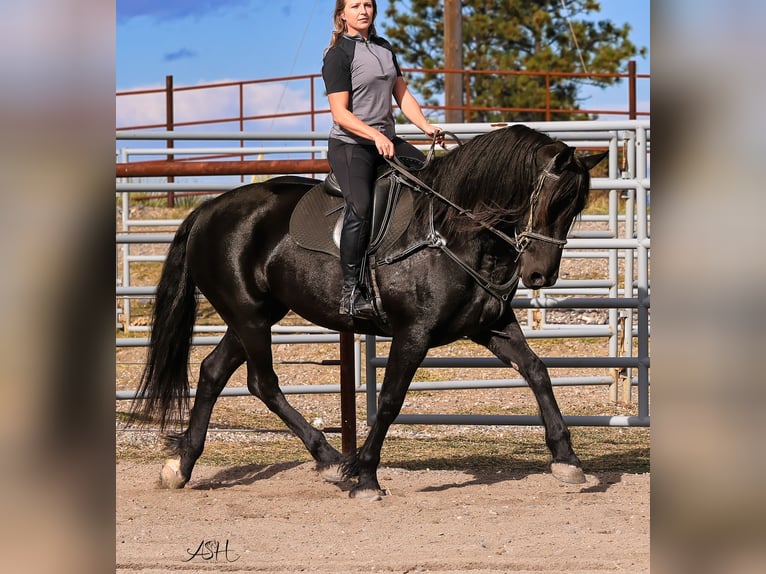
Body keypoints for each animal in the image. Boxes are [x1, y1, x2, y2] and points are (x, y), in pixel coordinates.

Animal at [129, 124, 607, 499]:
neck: (451, 232)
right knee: (262, 383)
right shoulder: (413, 334)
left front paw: (567, 459)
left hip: (254, 316)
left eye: (574, 208)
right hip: (249, 317)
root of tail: (208, 208)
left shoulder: (491, 326)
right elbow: (391, 400)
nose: (542, 275)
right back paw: (331, 459)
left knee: (213, 370)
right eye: (551, 201)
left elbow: (537, 370)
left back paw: (183, 466)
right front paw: (366, 477)